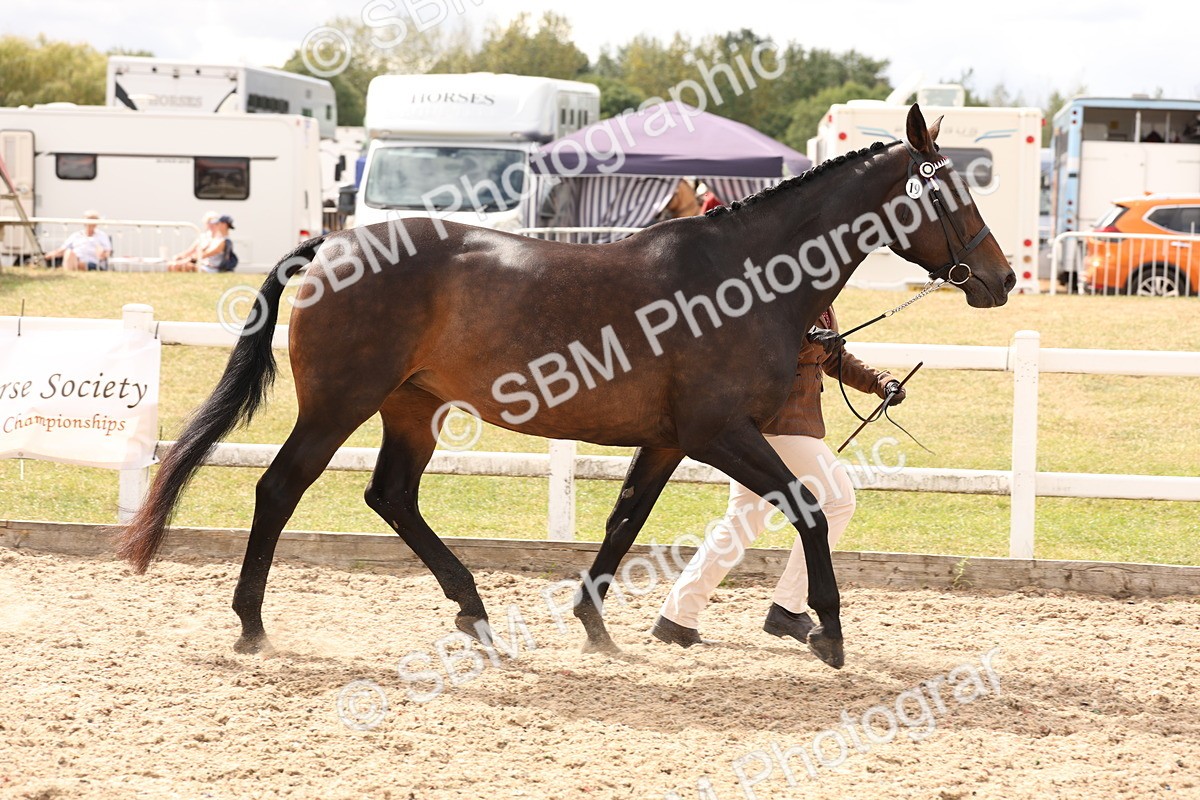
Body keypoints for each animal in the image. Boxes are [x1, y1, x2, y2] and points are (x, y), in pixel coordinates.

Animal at [117, 105, 1014, 669]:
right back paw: (252, 625)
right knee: (280, 490)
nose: (1002, 279)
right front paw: (827, 632)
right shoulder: (719, 433)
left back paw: (475, 614)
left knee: (392, 496)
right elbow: (808, 508)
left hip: (413, 407)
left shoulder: (668, 440)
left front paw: (596, 628)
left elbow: (624, 522)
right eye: (950, 191)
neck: (743, 277)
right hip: (340, 404)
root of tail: (333, 244)